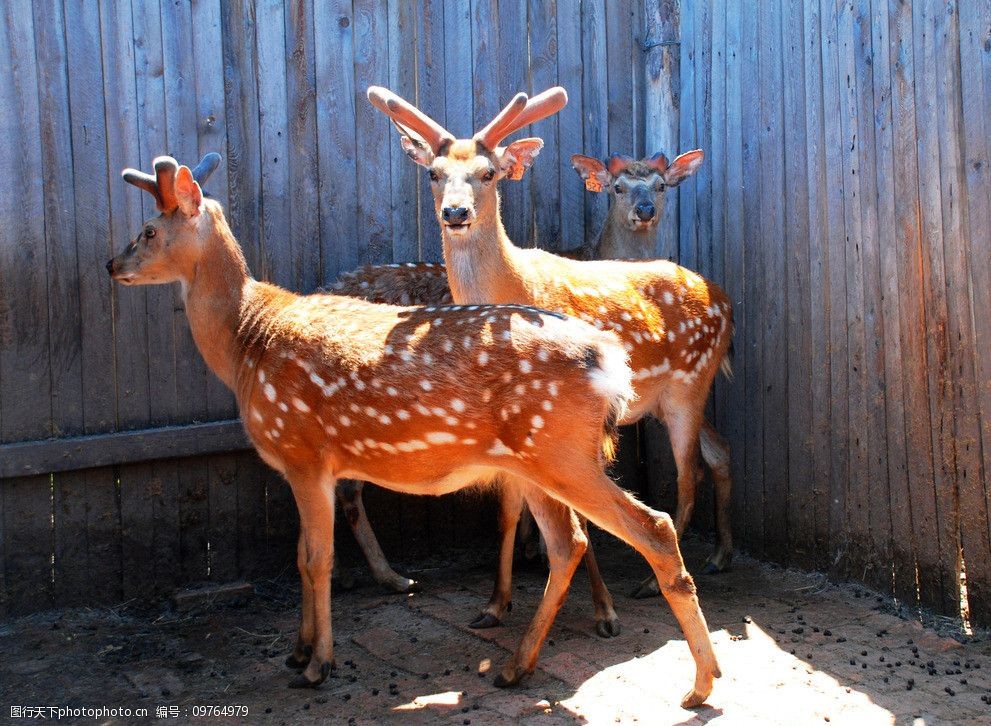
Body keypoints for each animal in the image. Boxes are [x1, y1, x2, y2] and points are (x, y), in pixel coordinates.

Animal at [106, 152, 720, 704]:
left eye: (148, 229)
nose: (112, 264)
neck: (246, 344)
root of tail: (608, 358)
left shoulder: (305, 453)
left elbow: (317, 559)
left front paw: (318, 665)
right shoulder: (298, 466)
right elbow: (303, 555)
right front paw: (298, 651)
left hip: (563, 451)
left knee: (652, 526)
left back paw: (699, 683)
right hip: (541, 459)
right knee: (568, 543)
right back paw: (515, 667)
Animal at [368, 84, 732, 608]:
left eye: (489, 173)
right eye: (434, 173)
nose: (455, 213)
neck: (512, 287)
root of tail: (725, 300)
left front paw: (599, 606)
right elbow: (509, 505)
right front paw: (497, 600)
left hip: (689, 384)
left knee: (688, 476)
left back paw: (652, 581)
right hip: (666, 399)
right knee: (717, 453)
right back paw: (719, 555)